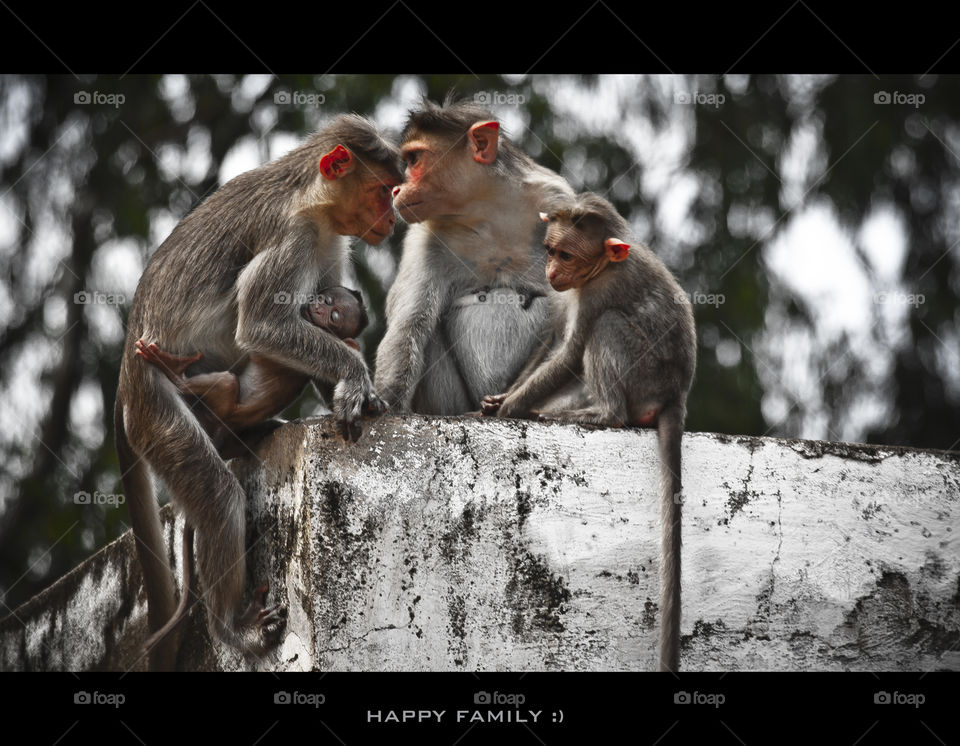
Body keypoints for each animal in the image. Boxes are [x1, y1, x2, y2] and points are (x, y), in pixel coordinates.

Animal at [114, 115, 403, 670]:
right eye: (384, 191)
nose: (394, 218)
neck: (312, 199)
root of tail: (124, 383)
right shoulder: (292, 238)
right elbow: (263, 326)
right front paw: (356, 378)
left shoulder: (331, 241)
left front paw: (360, 394)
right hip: (156, 414)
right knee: (217, 492)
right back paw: (232, 627)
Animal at [374, 97, 574, 415]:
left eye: (414, 159)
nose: (396, 189)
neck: (487, 212)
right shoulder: (425, 237)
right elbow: (409, 324)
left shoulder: (558, 200)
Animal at [480, 192, 696, 672]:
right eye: (550, 251)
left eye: (567, 255)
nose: (550, 271)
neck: (600, 268)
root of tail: (676, 394)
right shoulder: (570, 293)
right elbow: (552, 342)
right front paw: (498, 399)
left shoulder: (600, 290)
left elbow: (571, 350)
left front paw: (507, 408)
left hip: (645, 376)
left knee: (608, 328)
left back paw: (604, 414)